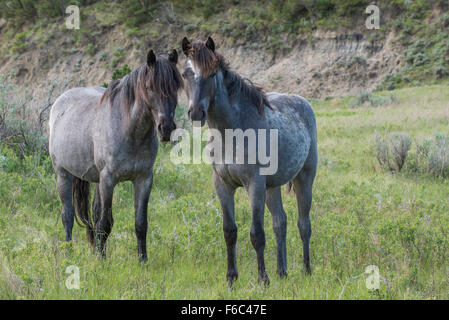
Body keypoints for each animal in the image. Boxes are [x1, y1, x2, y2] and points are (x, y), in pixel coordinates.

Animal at [49, 49, 182, 260]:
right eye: (149, 86)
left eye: (176, 86)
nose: (166, 128)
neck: (129, 130)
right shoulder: (109, 179)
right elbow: (105, 223)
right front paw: (101, 260)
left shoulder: (144, 179)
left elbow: (140, 223)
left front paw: (142, 260)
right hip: (63, 175)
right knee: (67, 215)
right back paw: (68, 250)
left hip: (95, 180)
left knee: (93, 214)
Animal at [180, 37, 316, 284]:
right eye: (185, 73)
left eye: (212, 74)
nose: (196, 113)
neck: (232, 132)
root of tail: (303, 102)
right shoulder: (223, 185)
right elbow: (230, 232)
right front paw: (231, 278)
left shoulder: (254, 184)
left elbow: (257, 234)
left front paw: (263, 279)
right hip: (272, 187)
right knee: (280, 222)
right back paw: (282, 272)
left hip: (304, 178)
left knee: (304, 224)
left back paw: (306, 269)